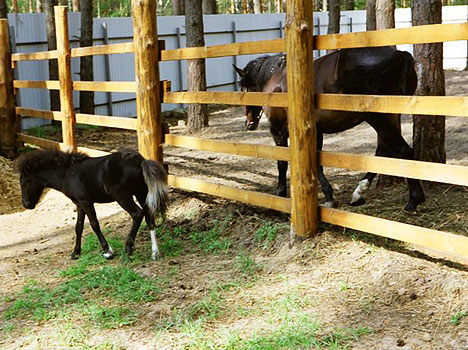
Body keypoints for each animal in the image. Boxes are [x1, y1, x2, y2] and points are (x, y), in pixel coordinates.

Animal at [18, 148, 169, 260]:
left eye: (23, 183)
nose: (26, 204)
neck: (67, 174)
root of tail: (140, 161)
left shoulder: (86, 202)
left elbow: (94, 224)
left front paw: (108, 251)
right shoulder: (79, 204)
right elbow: (78, 227)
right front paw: (75, 253)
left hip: (123, 196)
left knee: (137, 214)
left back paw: (128, 248)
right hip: (141, 193)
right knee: (149, 216)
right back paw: (155, 253)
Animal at [236, 45, 426, 211]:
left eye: (244, 87)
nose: (249, 123)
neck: (280, 82)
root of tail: (400, 55)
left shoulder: (279, 131)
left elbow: (282, 162)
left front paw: (280, 194)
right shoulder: (316, 131)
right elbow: (316, 162)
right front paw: (329, 196)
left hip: (379, 118)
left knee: (403, 151)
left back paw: (413, 200)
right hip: (390, 118)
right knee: (384, 151)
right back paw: (360, 192)